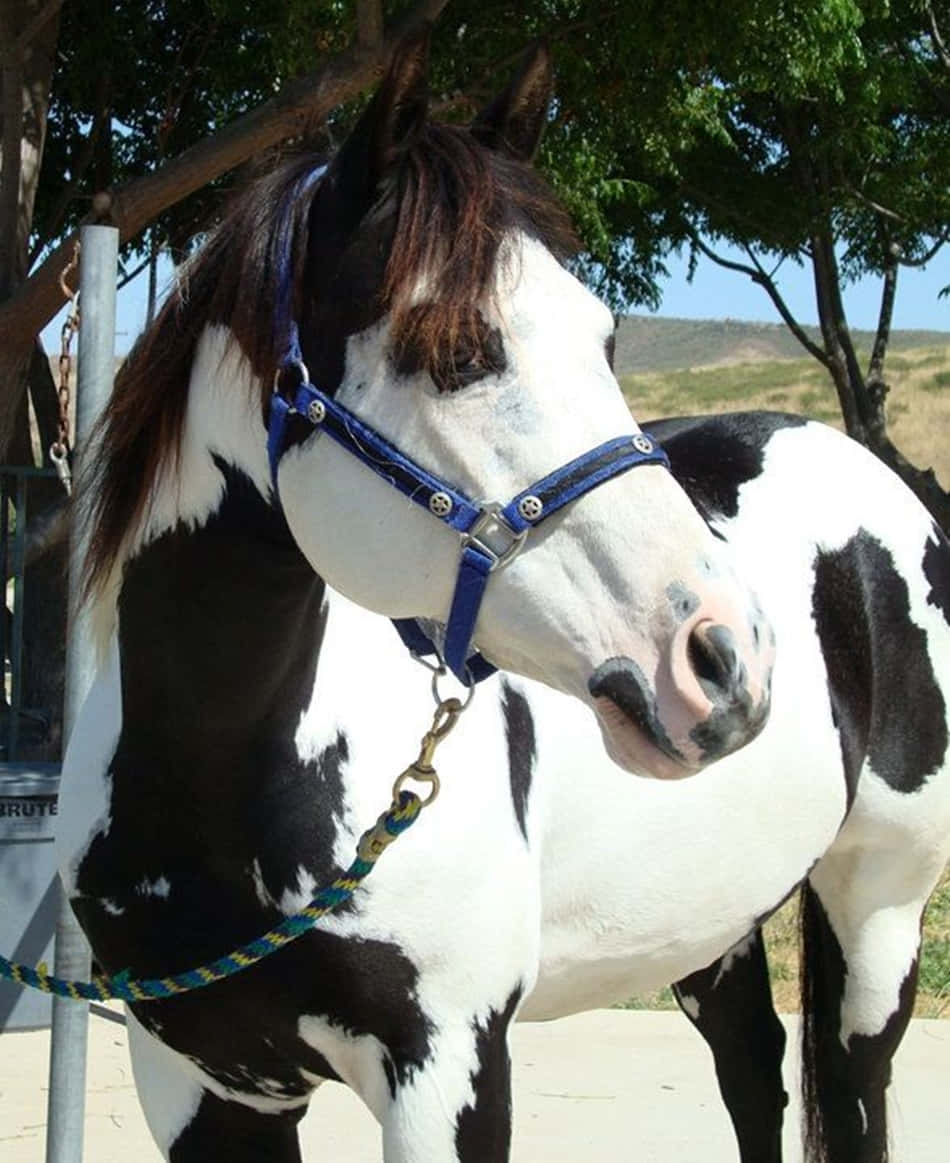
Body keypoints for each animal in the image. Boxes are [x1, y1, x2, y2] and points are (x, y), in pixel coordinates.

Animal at [52, 29, 947, 1163]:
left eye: (605, 342)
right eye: (456, 350)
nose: (724, 658)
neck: (215, 780)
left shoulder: (450, 1065)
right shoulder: (200, 1082)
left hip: (880, 905)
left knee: (852, 1080)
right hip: (712, 918)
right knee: (754, 1067)